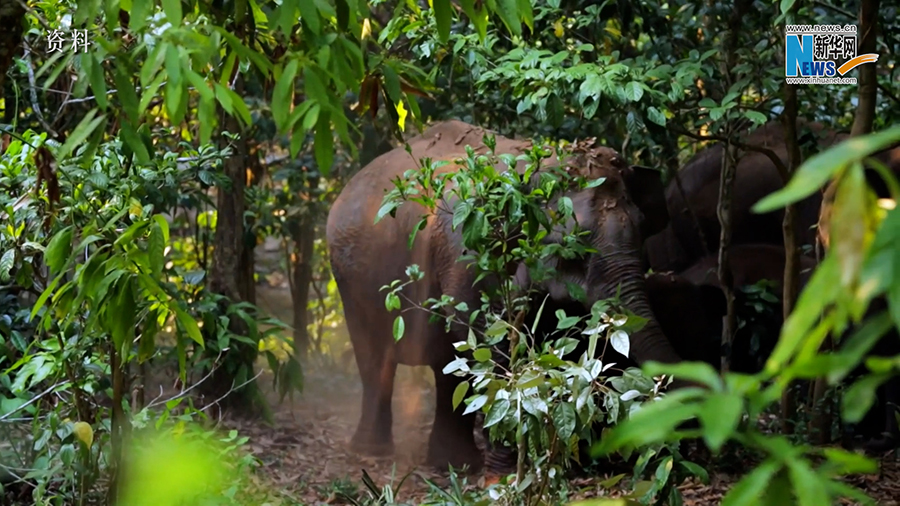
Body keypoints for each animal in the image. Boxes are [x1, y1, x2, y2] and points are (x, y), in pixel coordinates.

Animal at [328, 120, 684, 472]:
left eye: (642, 229)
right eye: (572, 246)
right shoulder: (469, 253)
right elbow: (488, 338)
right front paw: (503, 468)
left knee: (443, 363)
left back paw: (450, 463)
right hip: (351, 282)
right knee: (376, 358)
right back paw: (376, 452)